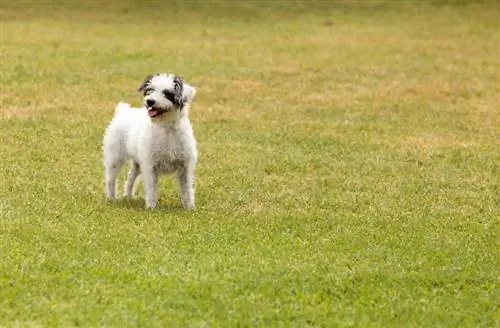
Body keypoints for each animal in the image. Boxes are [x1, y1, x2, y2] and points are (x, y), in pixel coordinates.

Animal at [103, 73, 197, 209]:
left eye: (167, 93)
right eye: (150, 90)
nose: (150, 101)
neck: (167, 128)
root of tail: (123, 112)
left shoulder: (185, 167)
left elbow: (187, 189)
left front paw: (189, 207)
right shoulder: (150, 166)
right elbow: (151, 188)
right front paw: (151, 207)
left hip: (137, 163)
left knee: (130, 176)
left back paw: (128, 196)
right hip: (115, 159)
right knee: (110, 179)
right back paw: (111, 198)